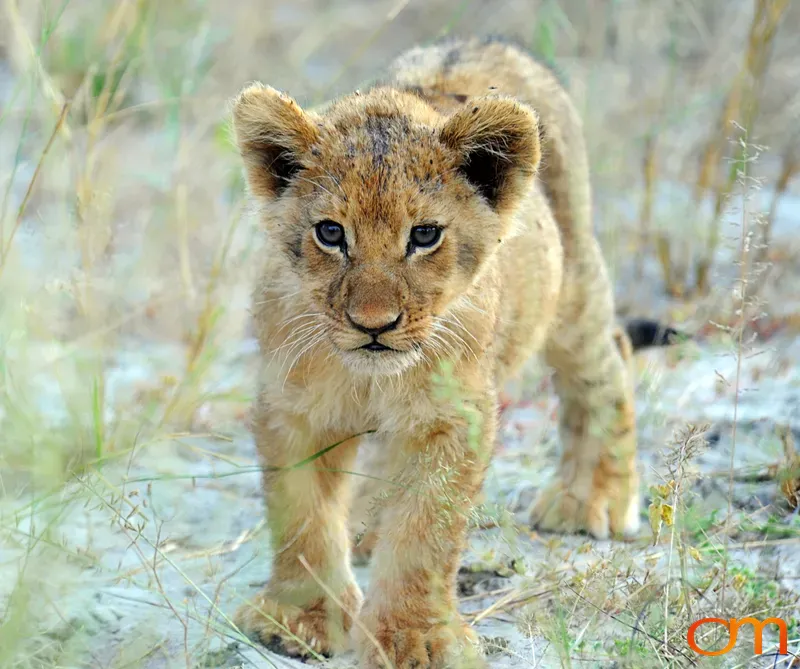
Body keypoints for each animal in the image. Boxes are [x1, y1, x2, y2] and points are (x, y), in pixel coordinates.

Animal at [229, 36, 675, 668]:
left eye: (424, 236)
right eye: (331, 233)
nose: (374, 325)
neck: (371, 376)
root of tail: (481, 43)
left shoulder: (453, 412)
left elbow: (425, 528)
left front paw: (413, 638)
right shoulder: (290, 407)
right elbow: (302, 517)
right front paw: (300, 620)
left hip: (570, 285)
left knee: (604, 358)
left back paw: (592, 498)